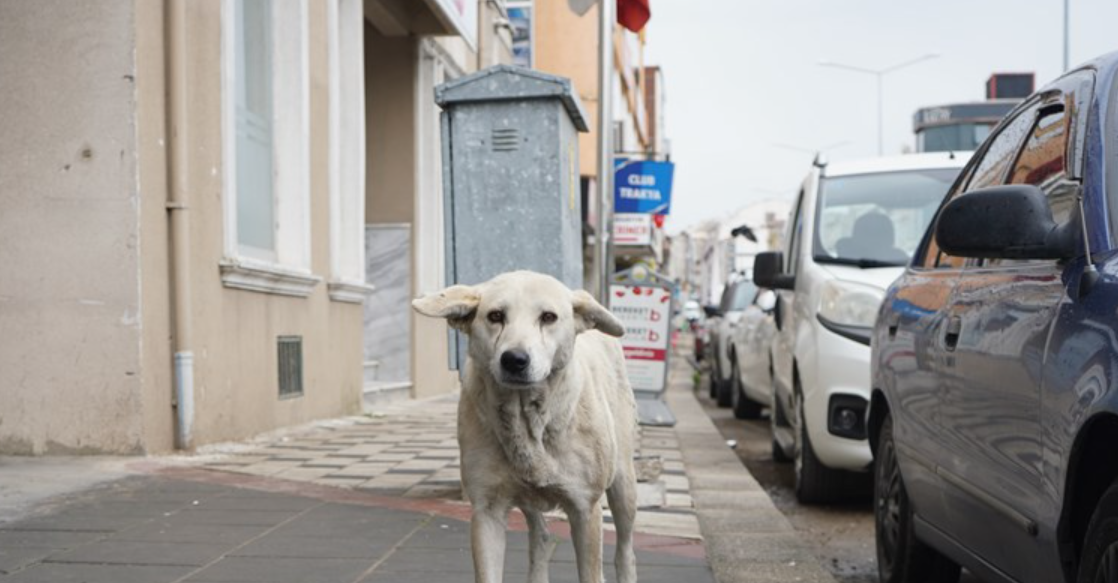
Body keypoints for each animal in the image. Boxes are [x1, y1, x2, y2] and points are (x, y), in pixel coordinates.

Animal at [413, 270, 643, 581]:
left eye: (548, 317)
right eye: (495, 315)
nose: (515, 359)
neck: (528, 420)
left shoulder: (585, 509)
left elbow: (591, 571)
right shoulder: (487, 511)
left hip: (623, 485)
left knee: (625, 550)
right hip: (527, 492)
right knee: (541, 536)